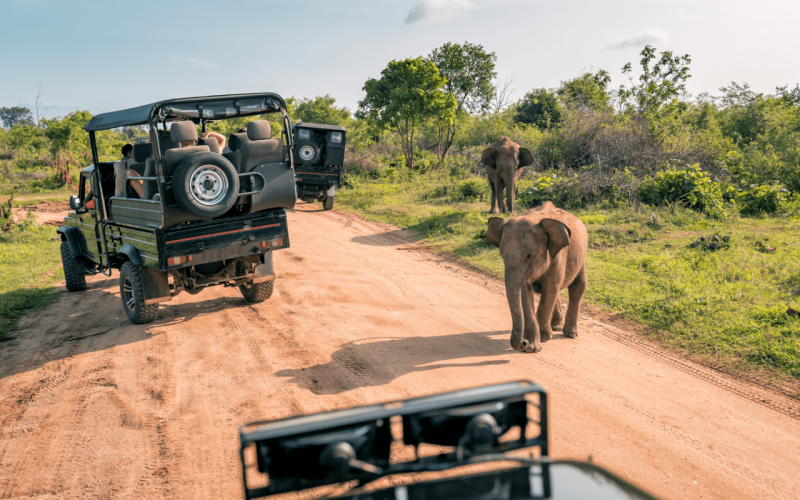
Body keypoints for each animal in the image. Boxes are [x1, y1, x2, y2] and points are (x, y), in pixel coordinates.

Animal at [482, 201, 588, 354]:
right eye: (501, 255)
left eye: (529, 255)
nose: (523, 342)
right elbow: (526, 292)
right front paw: (531, 346)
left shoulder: (558, 256)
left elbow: (550, 288)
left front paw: (543, 338)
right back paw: (555, 326)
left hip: (581, 256)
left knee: (577, 286)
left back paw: (569, 333)